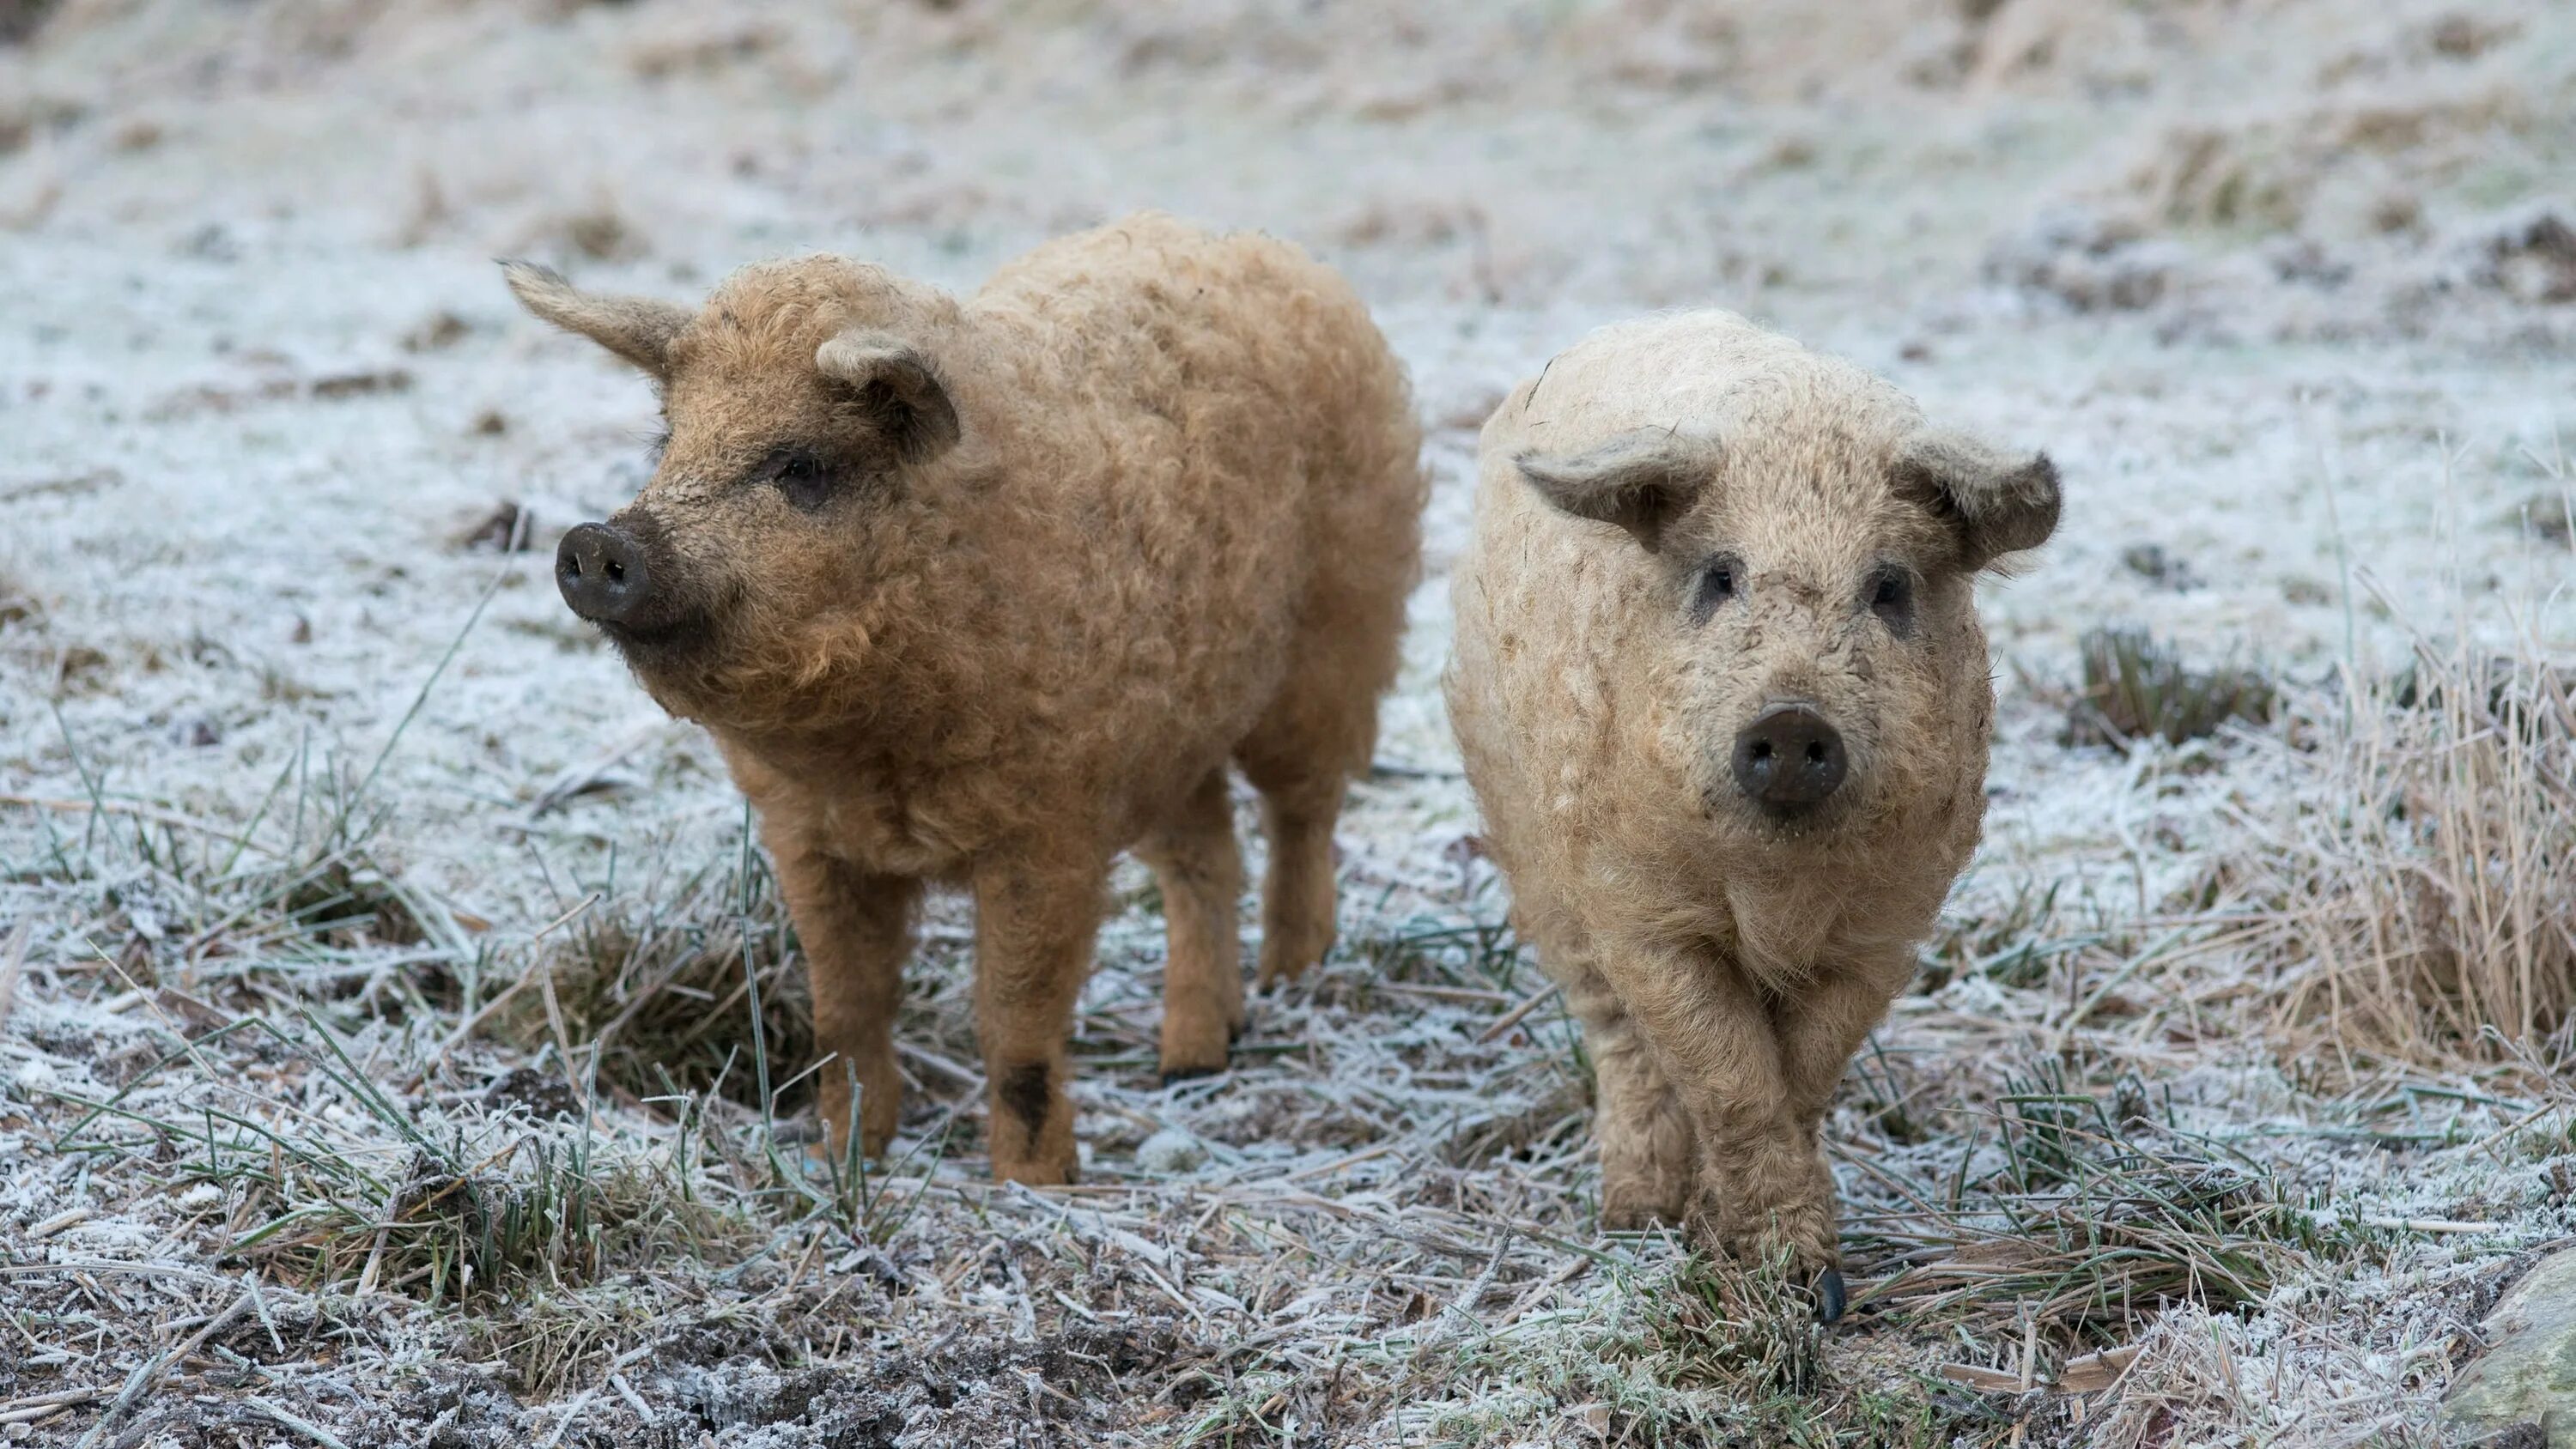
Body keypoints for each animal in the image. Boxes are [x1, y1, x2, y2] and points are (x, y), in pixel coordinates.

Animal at [502, 218, 1432, 1189]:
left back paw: (1294, 977)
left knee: (1303, 811)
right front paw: (842, 1159)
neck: (872, 751)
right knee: (1206, 855)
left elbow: (1016, 1022)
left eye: (803, 465)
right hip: (1170, 728)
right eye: (669, 439)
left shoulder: (1049, 826)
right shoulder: (806, 834)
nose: (595, 541)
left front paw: (1032, 1185)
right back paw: (1191, 1060)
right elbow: (844, 1008)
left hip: (1341, 635)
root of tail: (1258, 244)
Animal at [1443, 311, 2061, 1318]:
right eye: (1720, 577)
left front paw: (1805, 1283)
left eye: (1889, 586)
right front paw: (1781, 1280)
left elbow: (1800, 1074)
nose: (1792, 718)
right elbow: (1728, 1076)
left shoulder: (1886, 929)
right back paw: (1632, 1213)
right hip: (1525, 842)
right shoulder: (1644, 913)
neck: (1778, 890)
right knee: (1615, 1034)